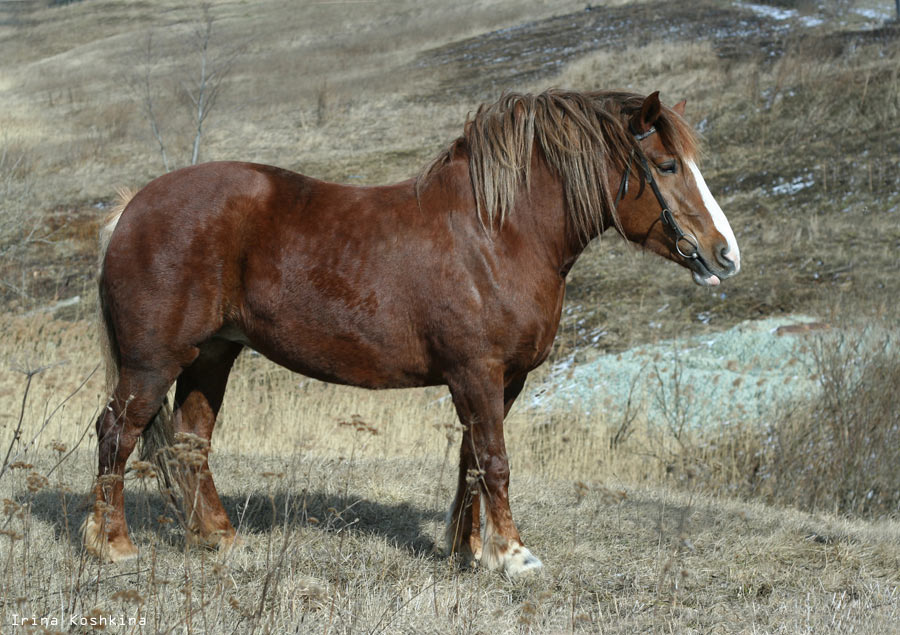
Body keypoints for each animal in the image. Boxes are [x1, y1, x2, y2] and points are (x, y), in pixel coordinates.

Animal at [83, 89, 740, 576]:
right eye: (667, 166)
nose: (725, 254)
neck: (497, 234)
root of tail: (133, 206)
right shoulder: (477, 373)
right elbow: (496, 461)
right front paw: (514, 556)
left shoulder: (501, 381)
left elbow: (471, 460)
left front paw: (467, 551)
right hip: (152, 363)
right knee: (117, 433)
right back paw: (113, 546)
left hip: (213, 355)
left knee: (189, 442)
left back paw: (218, 538)